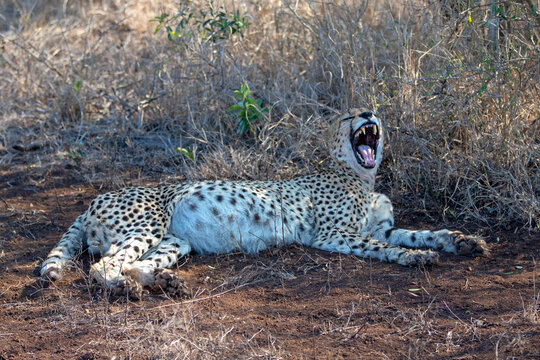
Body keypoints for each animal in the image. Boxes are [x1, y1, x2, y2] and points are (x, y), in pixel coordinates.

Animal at [41, 109, 490, 298]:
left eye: (373, 110)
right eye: (350, 116)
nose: (369, 114)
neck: (362, 175)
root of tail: (98, 196)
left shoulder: (382, 226)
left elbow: (420, 232)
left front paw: (461, 242)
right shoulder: (333, 236)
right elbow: (384, 247)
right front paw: (414, 259)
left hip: (174, 240)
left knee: (133, 263)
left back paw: (164, 283)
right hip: (146, 225)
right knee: (102, 266)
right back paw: (124, 289)